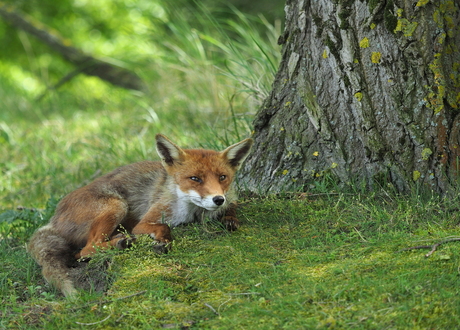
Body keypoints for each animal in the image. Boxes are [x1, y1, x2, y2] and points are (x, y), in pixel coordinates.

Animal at [27, 134, 253, 296]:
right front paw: (163, 241)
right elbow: (164, 226)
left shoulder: (230, 199)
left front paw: (229, 219)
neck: (193, 212)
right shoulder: (147, 220)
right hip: (117, 205)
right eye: (195, 178)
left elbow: (232, 211)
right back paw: (121, 243)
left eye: (222, 177)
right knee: (86, 250)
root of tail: (53, 220)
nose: (218, 199)